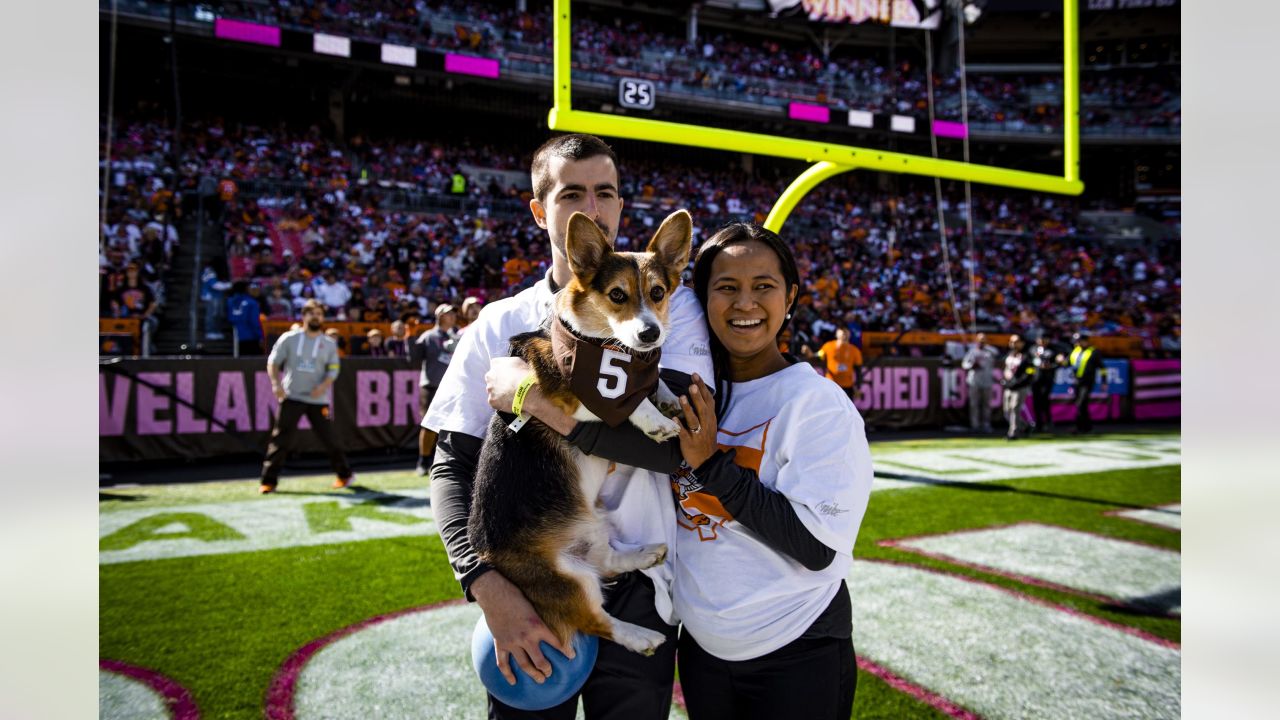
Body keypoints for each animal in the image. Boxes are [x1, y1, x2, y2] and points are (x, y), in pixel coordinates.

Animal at [468, 208, 696, 655]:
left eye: (658, 292)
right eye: (617, 295)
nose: (650, 334)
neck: (606, 345)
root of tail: (491, 560)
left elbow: (654, 379)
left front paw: (667, 397)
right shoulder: (572, 395)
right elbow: (625, 401)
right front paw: (657, 421)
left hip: (595, 526)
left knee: (605, 561)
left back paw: (646, 554)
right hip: (569, 580)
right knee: (595, 619)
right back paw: (640, 636)